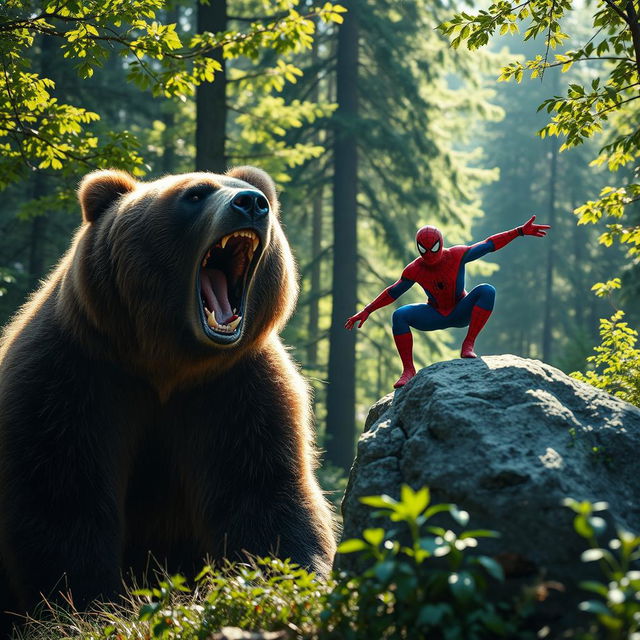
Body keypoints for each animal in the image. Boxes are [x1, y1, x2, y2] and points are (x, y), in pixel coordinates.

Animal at [0, 165, 336, 632]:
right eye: (195, 194)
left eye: (252, 191)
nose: (252, 203)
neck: (165, 364)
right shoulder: (72, 378)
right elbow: (63, 492)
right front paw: (89, 607)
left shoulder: (235, 391)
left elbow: (260, 490)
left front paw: (285, 580)